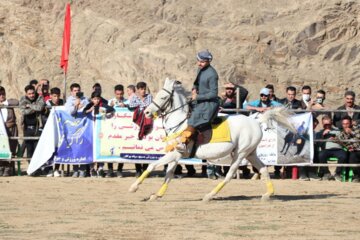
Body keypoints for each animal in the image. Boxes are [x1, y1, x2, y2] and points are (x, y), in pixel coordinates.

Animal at [129, 78, 296, 201]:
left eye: (163, 97)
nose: (147, 112)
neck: (179, 123)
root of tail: (256, 121)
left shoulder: (175, 154)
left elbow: (152, 165)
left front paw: (134, 187)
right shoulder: (176, 155)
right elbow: (168, 175)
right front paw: (157, 194)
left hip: (240, 153)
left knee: (230, 175)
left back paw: (210, 195)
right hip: (250, 153)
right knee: (263, 169)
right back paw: (268, 194)